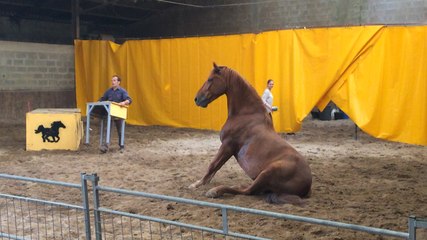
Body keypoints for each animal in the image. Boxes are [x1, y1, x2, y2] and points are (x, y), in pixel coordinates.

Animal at [192, 62, 312, 204]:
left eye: (210, 79)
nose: (197, 99)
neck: (246, 114)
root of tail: (308, 186)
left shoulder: (227, 146)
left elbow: (213, 165)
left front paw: (197, 184)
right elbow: (215, 167)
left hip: (267, 172)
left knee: (248, 191)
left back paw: (215, 191)